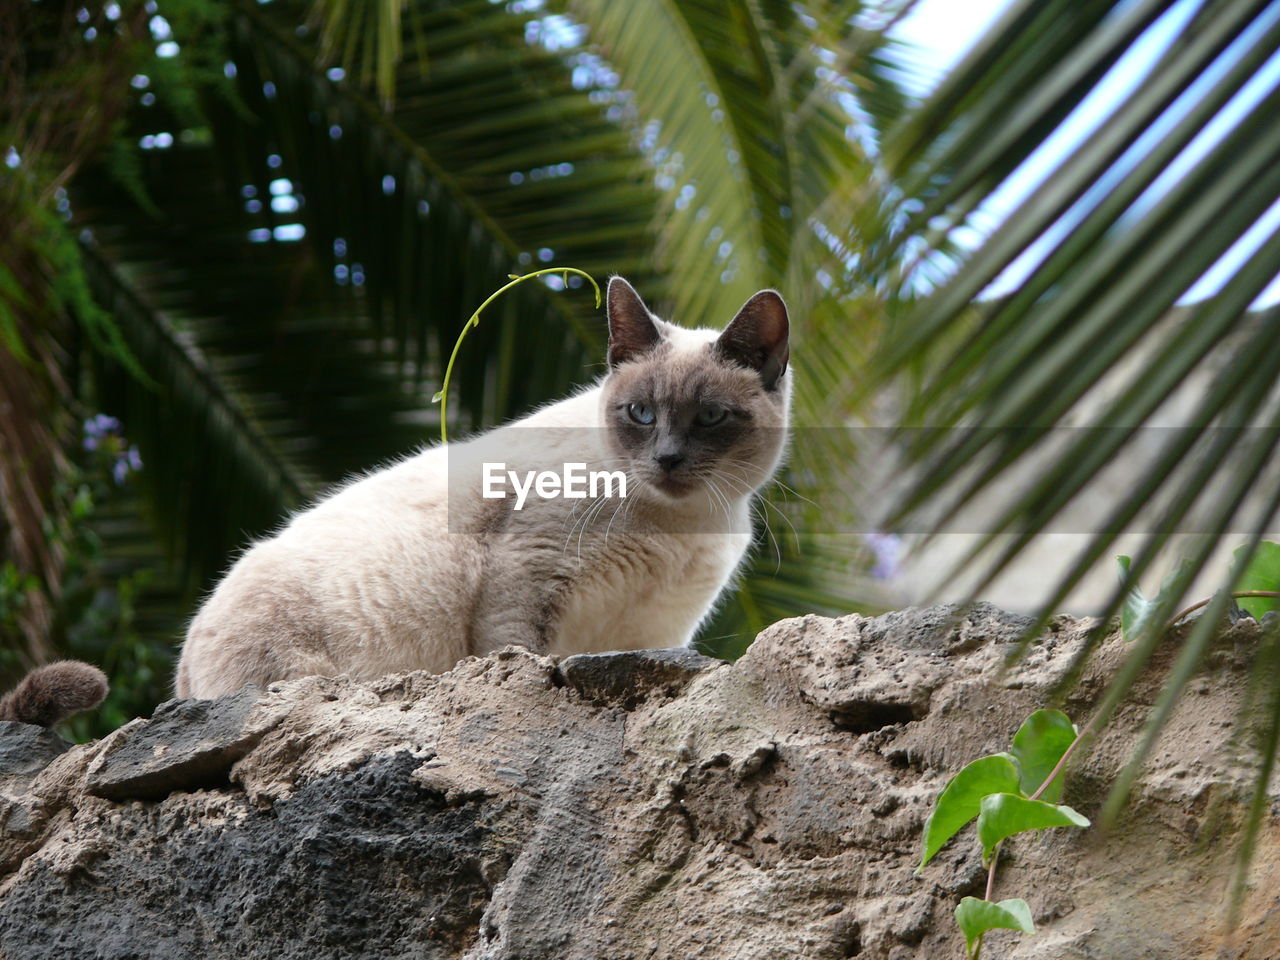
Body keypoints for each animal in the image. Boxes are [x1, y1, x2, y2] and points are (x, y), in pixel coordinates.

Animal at [170, 277, 788, 701]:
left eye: (710, 417)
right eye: (640, 413)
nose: (667, 460)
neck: (678, 526)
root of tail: (179, 675)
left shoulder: (654, 630)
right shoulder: (530, 575)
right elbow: (516, 659)